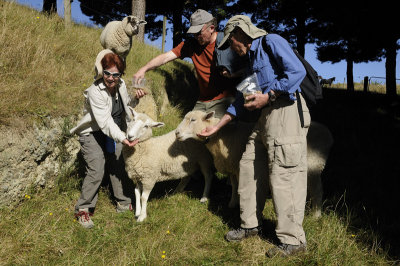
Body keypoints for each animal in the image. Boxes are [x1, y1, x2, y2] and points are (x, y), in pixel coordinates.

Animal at [176, 110, 334, 218]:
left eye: (193, 120)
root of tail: (328, 133)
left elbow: (240, 187)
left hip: (314, 165)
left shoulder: (238, 166)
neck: (221, 135)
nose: (177, 133)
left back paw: (315, 215)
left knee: (317, 190)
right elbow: (234, 185)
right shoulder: (232, 166)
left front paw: (240, 204)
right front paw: (232, 203)